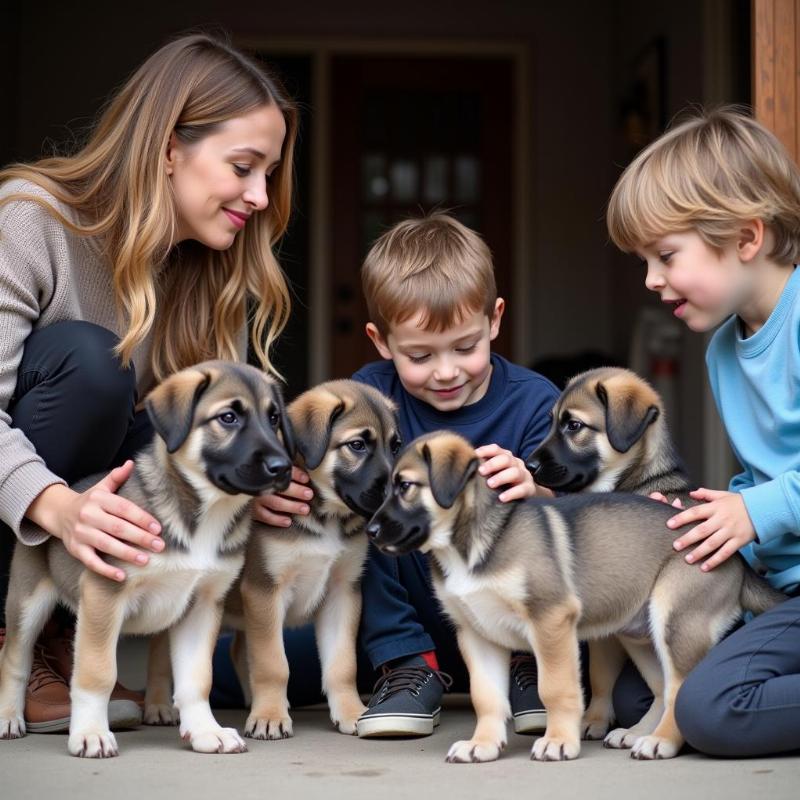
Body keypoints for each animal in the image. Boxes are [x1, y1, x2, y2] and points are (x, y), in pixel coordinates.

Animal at [0, 360, 294, 756]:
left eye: (274, 417)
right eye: (228, 417)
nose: (284, 467)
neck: (204, 514)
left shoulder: (202, 605)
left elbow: (197, 678)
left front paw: (206, 730)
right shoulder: (105, 593)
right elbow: (96, 672)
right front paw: (90, 733)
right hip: (28, 600)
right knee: (14, 658)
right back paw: (9, 717)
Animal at [223, 380, 400, 736]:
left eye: (395, 446)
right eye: (358, 445)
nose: (397, 495)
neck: (326, 519)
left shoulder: (343, 592)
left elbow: (342, 664)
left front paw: (350, 712)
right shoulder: (264, 591)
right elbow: (272, 663)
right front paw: (270, 716)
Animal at [366, 432, 784, 764]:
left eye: (405, 486)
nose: (369, 530)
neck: (467, 545)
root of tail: (738, 562)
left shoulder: (551, 620)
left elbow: (556, 689)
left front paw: (558, 742)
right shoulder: (476, 634)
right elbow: (487, 696)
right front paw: (482, 745)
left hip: (676, 621)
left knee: (679, 688)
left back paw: (660, 741)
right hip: (642, 634)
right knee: (663, 688)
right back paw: (638, 733)